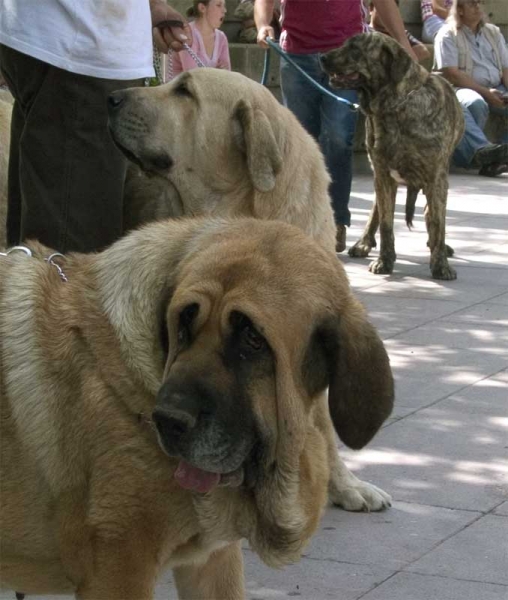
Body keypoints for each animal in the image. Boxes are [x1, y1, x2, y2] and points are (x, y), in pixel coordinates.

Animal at [322, 30, 464, 278]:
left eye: (355, 49)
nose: (322, 57)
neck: (394, 106)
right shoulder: (383, 175)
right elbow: (386, 224)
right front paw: (385, 261)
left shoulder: (436, 178)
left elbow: (438, 222)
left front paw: (440, 264)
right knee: (376, 212)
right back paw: (363, 243)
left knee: (433, 215)